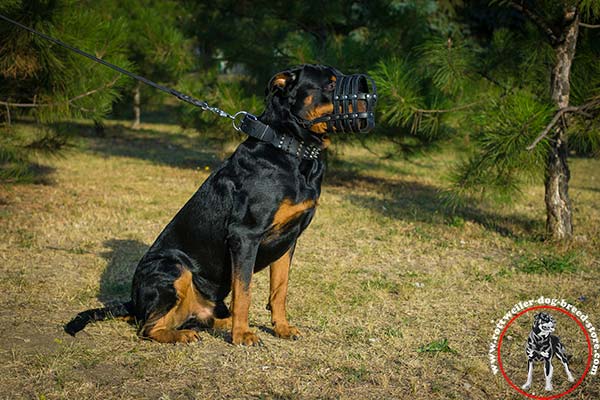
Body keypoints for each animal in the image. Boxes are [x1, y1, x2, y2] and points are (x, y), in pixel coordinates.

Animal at [64, 64, 376, 346]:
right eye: (330, 84)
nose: (372, 96)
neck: (290, 148)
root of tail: (132, 300)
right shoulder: (245, 235)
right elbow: (245, 291)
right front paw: (243, 336)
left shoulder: (289, 239)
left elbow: (280, 289)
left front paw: (282, 328)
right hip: (173, 268)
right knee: (147, 328)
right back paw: (183, 335)